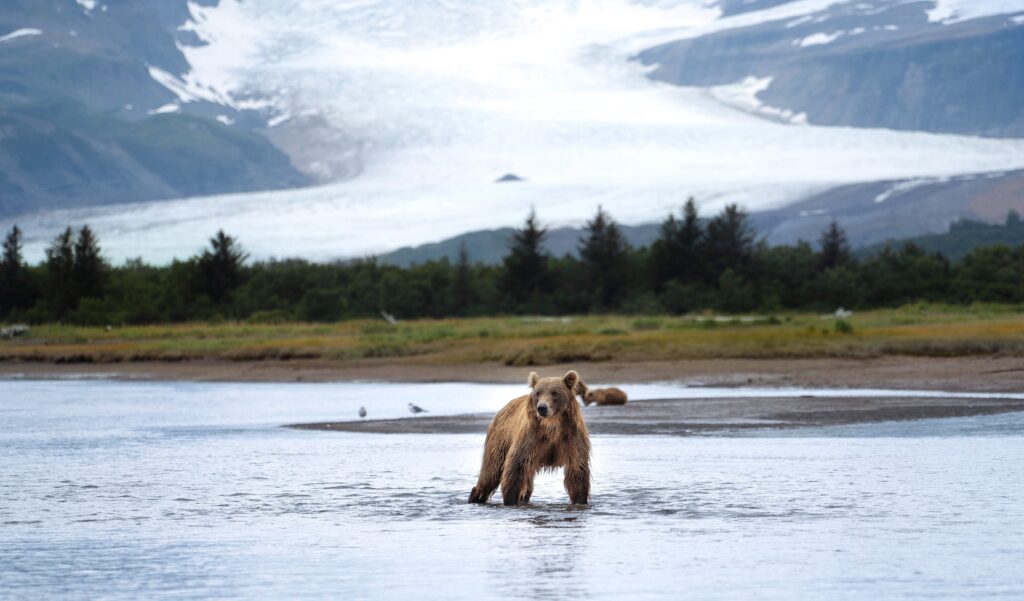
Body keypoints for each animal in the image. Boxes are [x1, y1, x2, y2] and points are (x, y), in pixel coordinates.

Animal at [468, 370, 591, 506]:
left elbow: (577, 471)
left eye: (554, 393)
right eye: (538, 393)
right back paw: (475, 497)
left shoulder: (571, 437)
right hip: (500, 439)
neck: (552, 426)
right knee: (491, 472)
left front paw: (580, 500)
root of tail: (503, 408)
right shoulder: (531, 438)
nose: (542, 408)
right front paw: (510, 500)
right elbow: (515, 468)